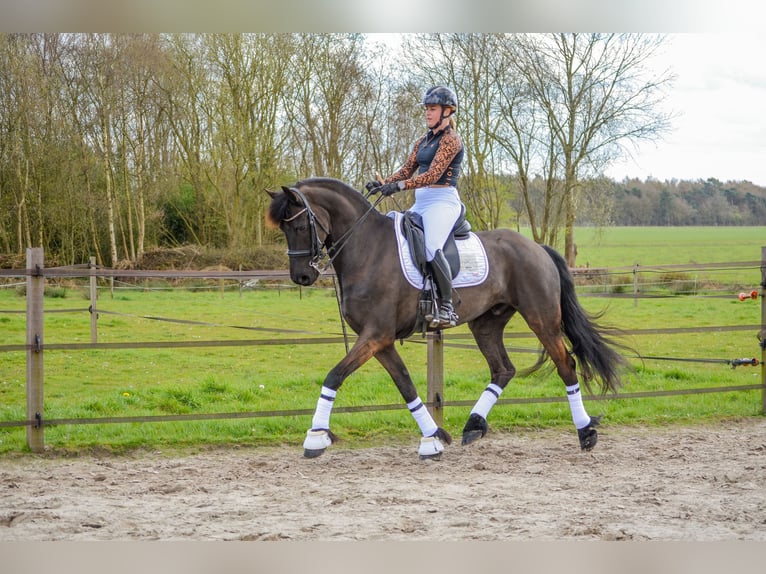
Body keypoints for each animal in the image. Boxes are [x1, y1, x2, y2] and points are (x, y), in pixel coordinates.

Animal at [266, 177, 629, 460]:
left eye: (299, 225)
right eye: (283, 228)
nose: (301, 277)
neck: (367, 249)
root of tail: (536, 247)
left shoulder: (375, 335)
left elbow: (334, 377)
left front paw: (316, 437)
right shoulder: (381, 340)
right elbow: (405, 385)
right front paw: (433, 439)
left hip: (541, 318)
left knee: (565, 364)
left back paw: (585, 432)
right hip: (486, 323)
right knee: (503, 369)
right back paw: (474, 425)